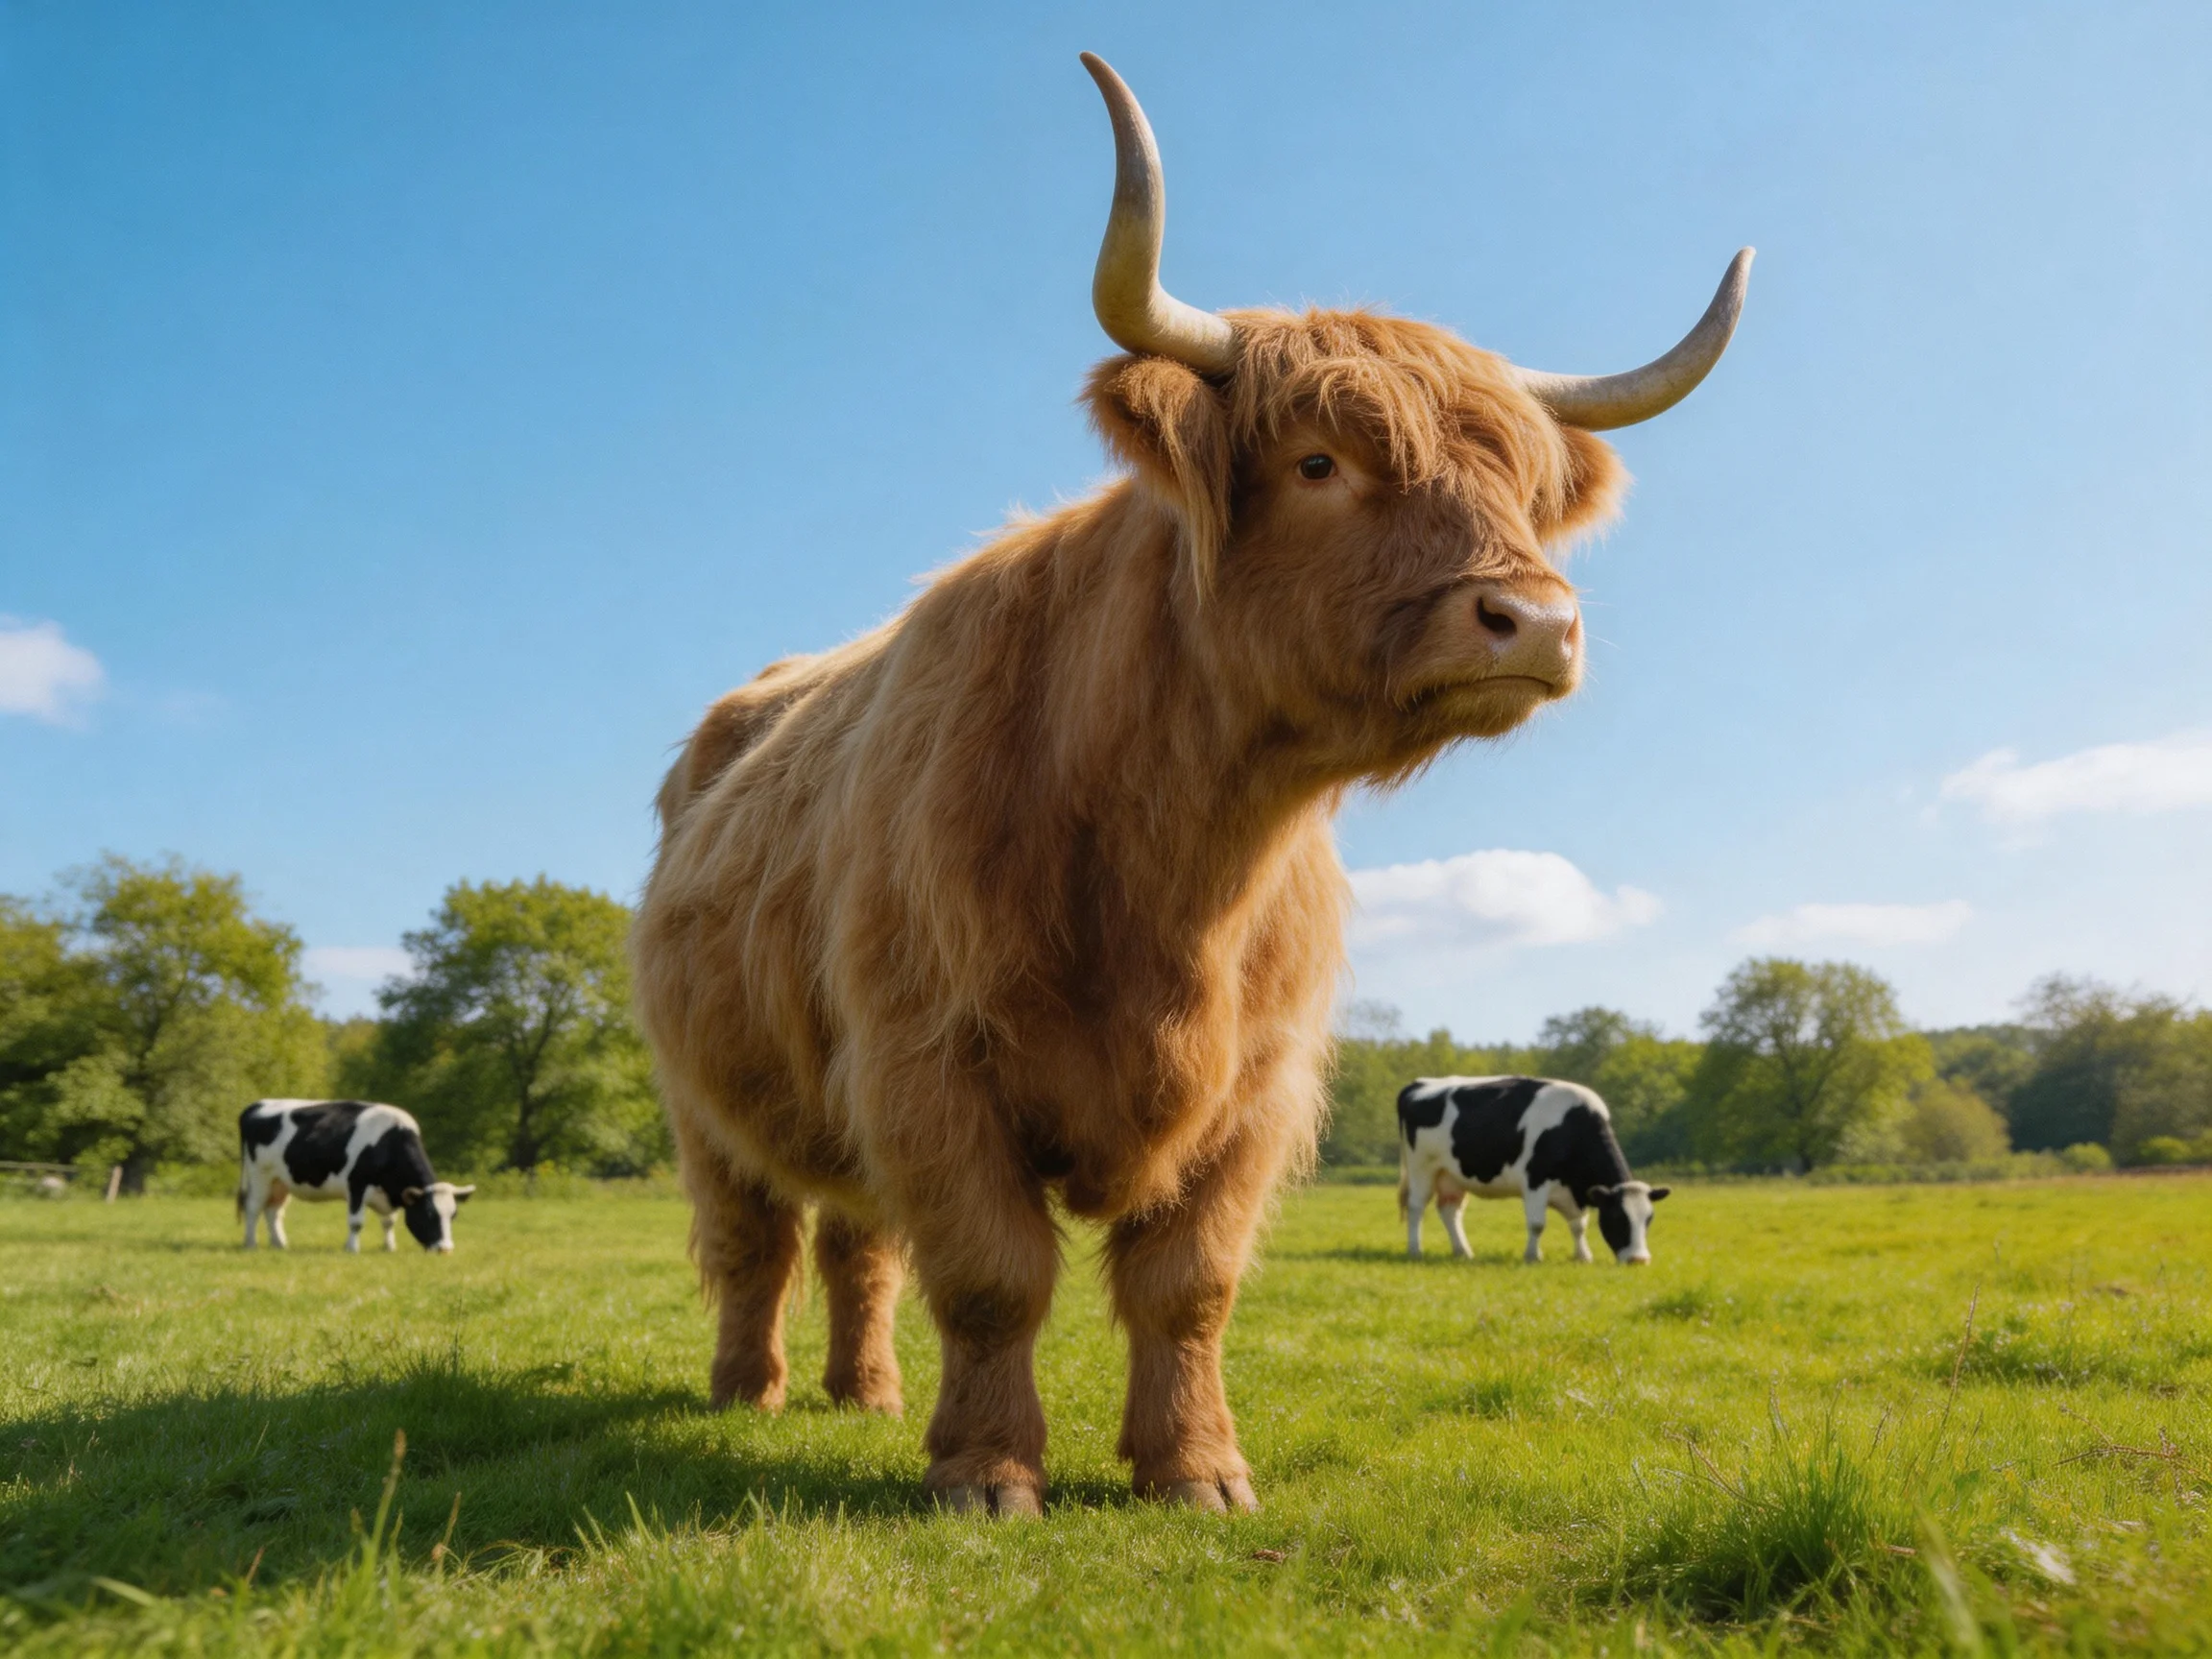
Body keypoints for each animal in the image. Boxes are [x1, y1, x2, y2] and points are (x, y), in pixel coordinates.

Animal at [237, 1099, 475, 1253]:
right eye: (429, 1214)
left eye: (453, 1215)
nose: (445, 1249)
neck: (388, 1142)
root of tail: (256, 1105)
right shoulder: (357, 1185)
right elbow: (356, 1222)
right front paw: (352, 1248)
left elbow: (389, 1221)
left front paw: (389, 1247)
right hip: (260, 1174)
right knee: (253, 1207)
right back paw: (251, 1243)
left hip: (281, 1181)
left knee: (273, 1211)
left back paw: (280, 1244)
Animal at [1398, 1076, 1670, 1265]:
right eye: (1617, 1218)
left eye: (1648, 1219)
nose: (1639, 1260)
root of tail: (1419, 1083)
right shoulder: (1536, 1181)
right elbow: (1537, 1224)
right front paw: (1532, 1256)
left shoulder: (1578, 1192)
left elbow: (1578, 1225)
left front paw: (1583, 1256)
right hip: (1422, 1167)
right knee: (1416, 1207)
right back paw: (1415, 1250)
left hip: (1452, 1175)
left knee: (1450, 1211)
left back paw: (1463, 1251)